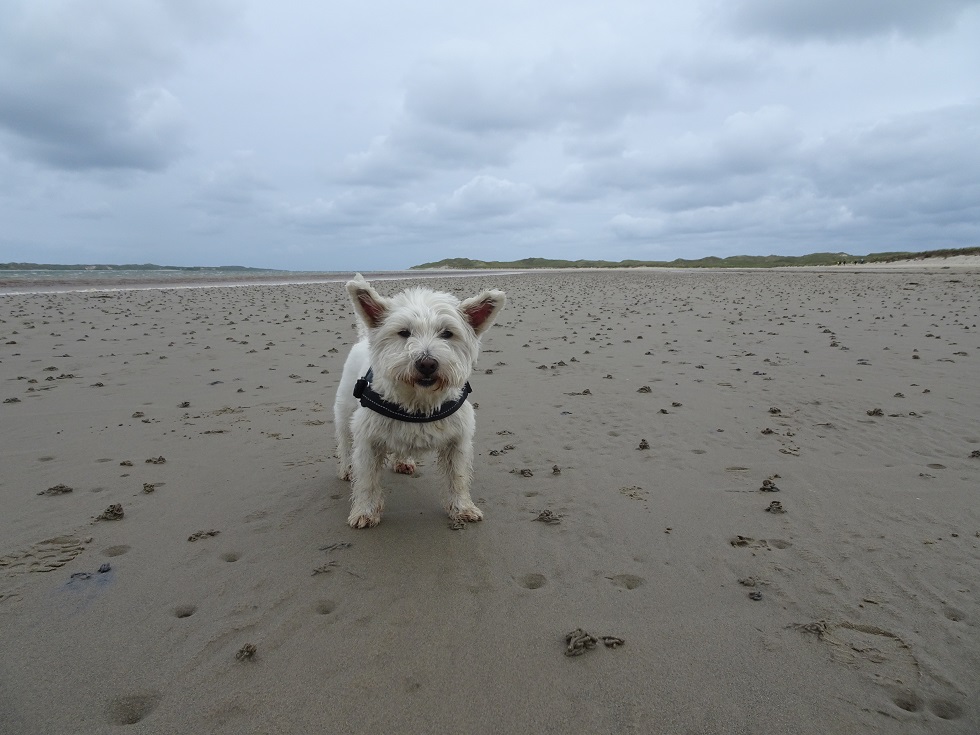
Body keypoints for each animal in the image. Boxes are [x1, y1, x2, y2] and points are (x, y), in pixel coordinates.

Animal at [334, 276, 506, 528]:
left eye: (447, 333)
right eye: (404, 332)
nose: (427, 363)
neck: (418, 402)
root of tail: (366, 337)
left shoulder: (457, 442)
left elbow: (457, 477)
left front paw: (462, 508)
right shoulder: (368, 441)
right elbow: (367, 481)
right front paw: (365, 511)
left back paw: (403, 461)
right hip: (345, 409)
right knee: (345, 442)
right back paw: (347, 469)